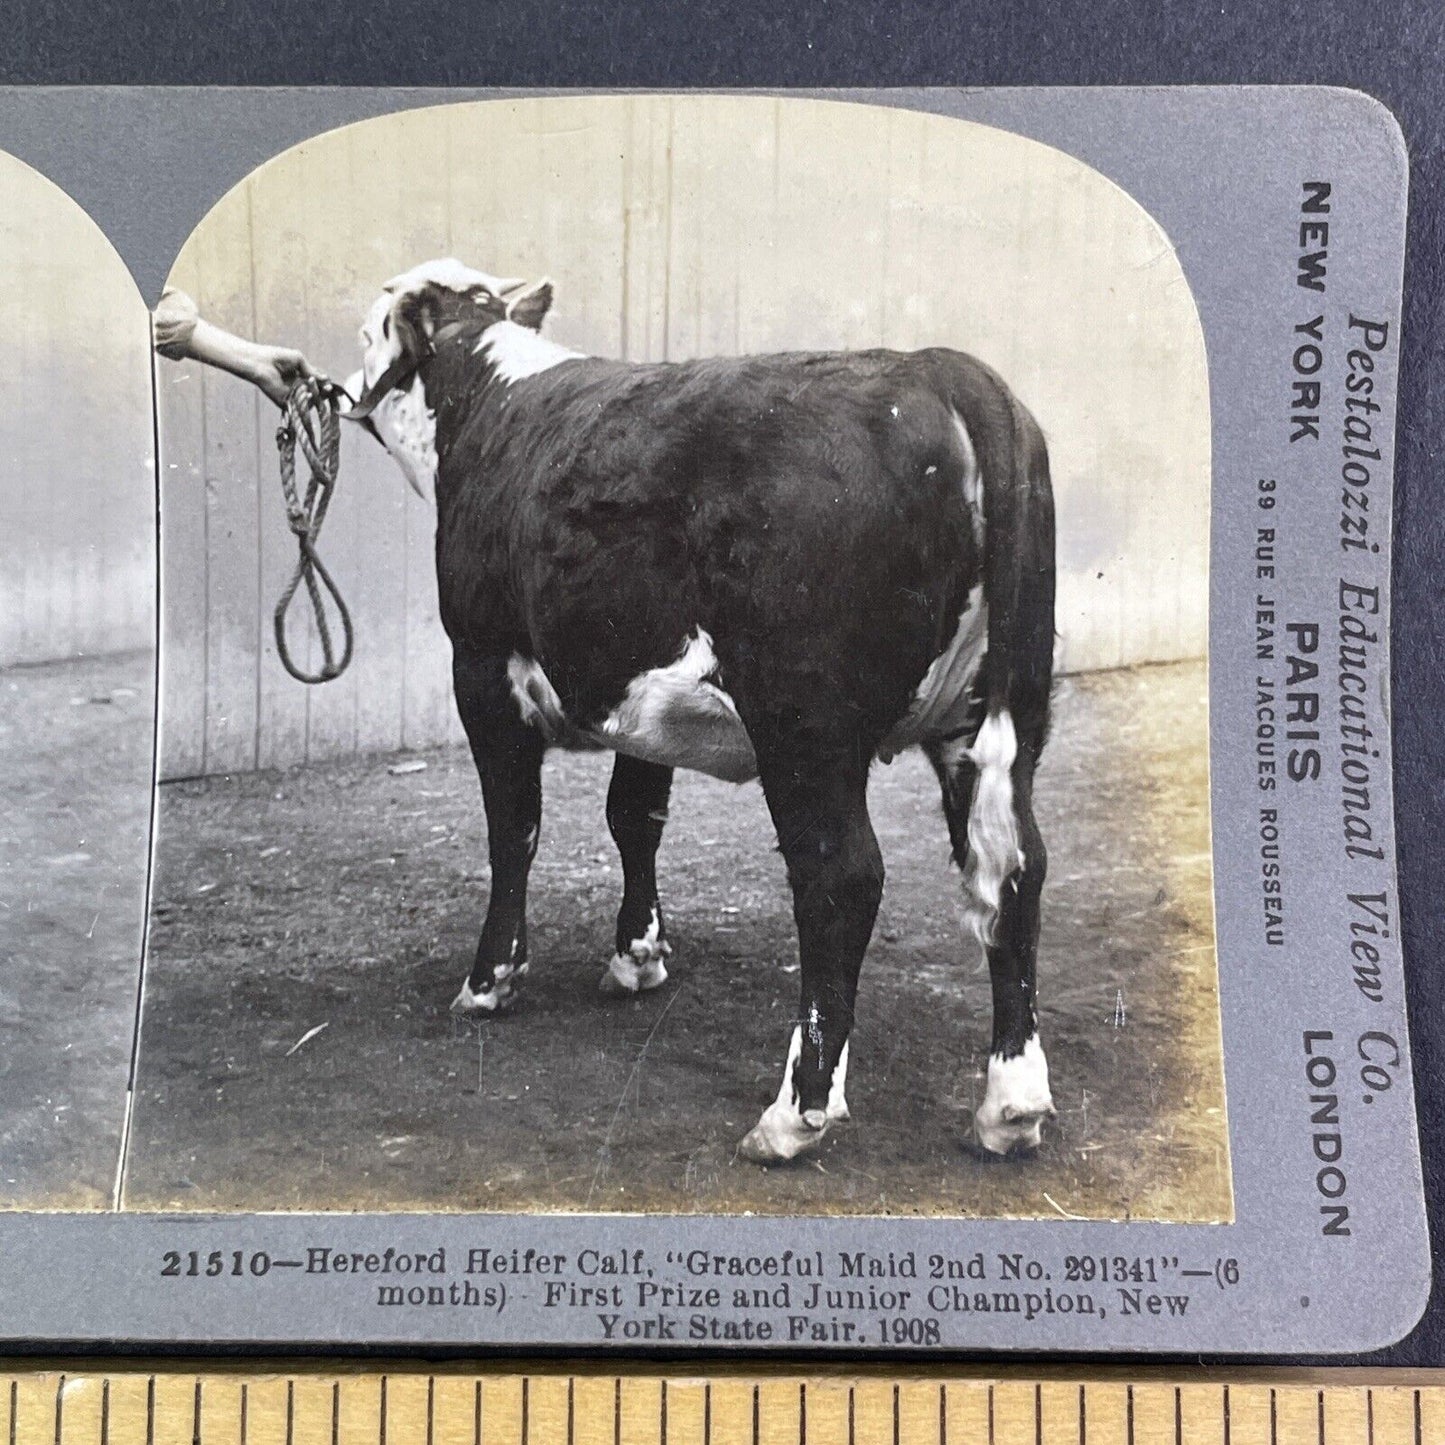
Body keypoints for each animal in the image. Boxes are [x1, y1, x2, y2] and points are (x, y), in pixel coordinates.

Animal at [341, 257, 1063, 1161]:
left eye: (370, 325)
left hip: (805, 728)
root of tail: (943, 369)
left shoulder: (480, 664)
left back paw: (794, 1114)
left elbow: (514, 829)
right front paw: (637, 956)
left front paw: (489, 982)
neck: (491, 396)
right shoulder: (637, 692)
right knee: (1015, 867)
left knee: (842, 878)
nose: (339, 387)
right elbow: (633, 814)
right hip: (1000, 714)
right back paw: (1010, 1104)